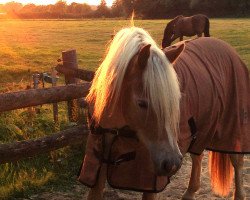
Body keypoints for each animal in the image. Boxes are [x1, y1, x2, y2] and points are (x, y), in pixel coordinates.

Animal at [80, 27, 250, 200]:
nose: (172, 162)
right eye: (142, 103)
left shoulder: (151, 181)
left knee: (237, 160)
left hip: (234, 126)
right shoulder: (98, 166)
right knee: (197, 155)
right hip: (202, 128)